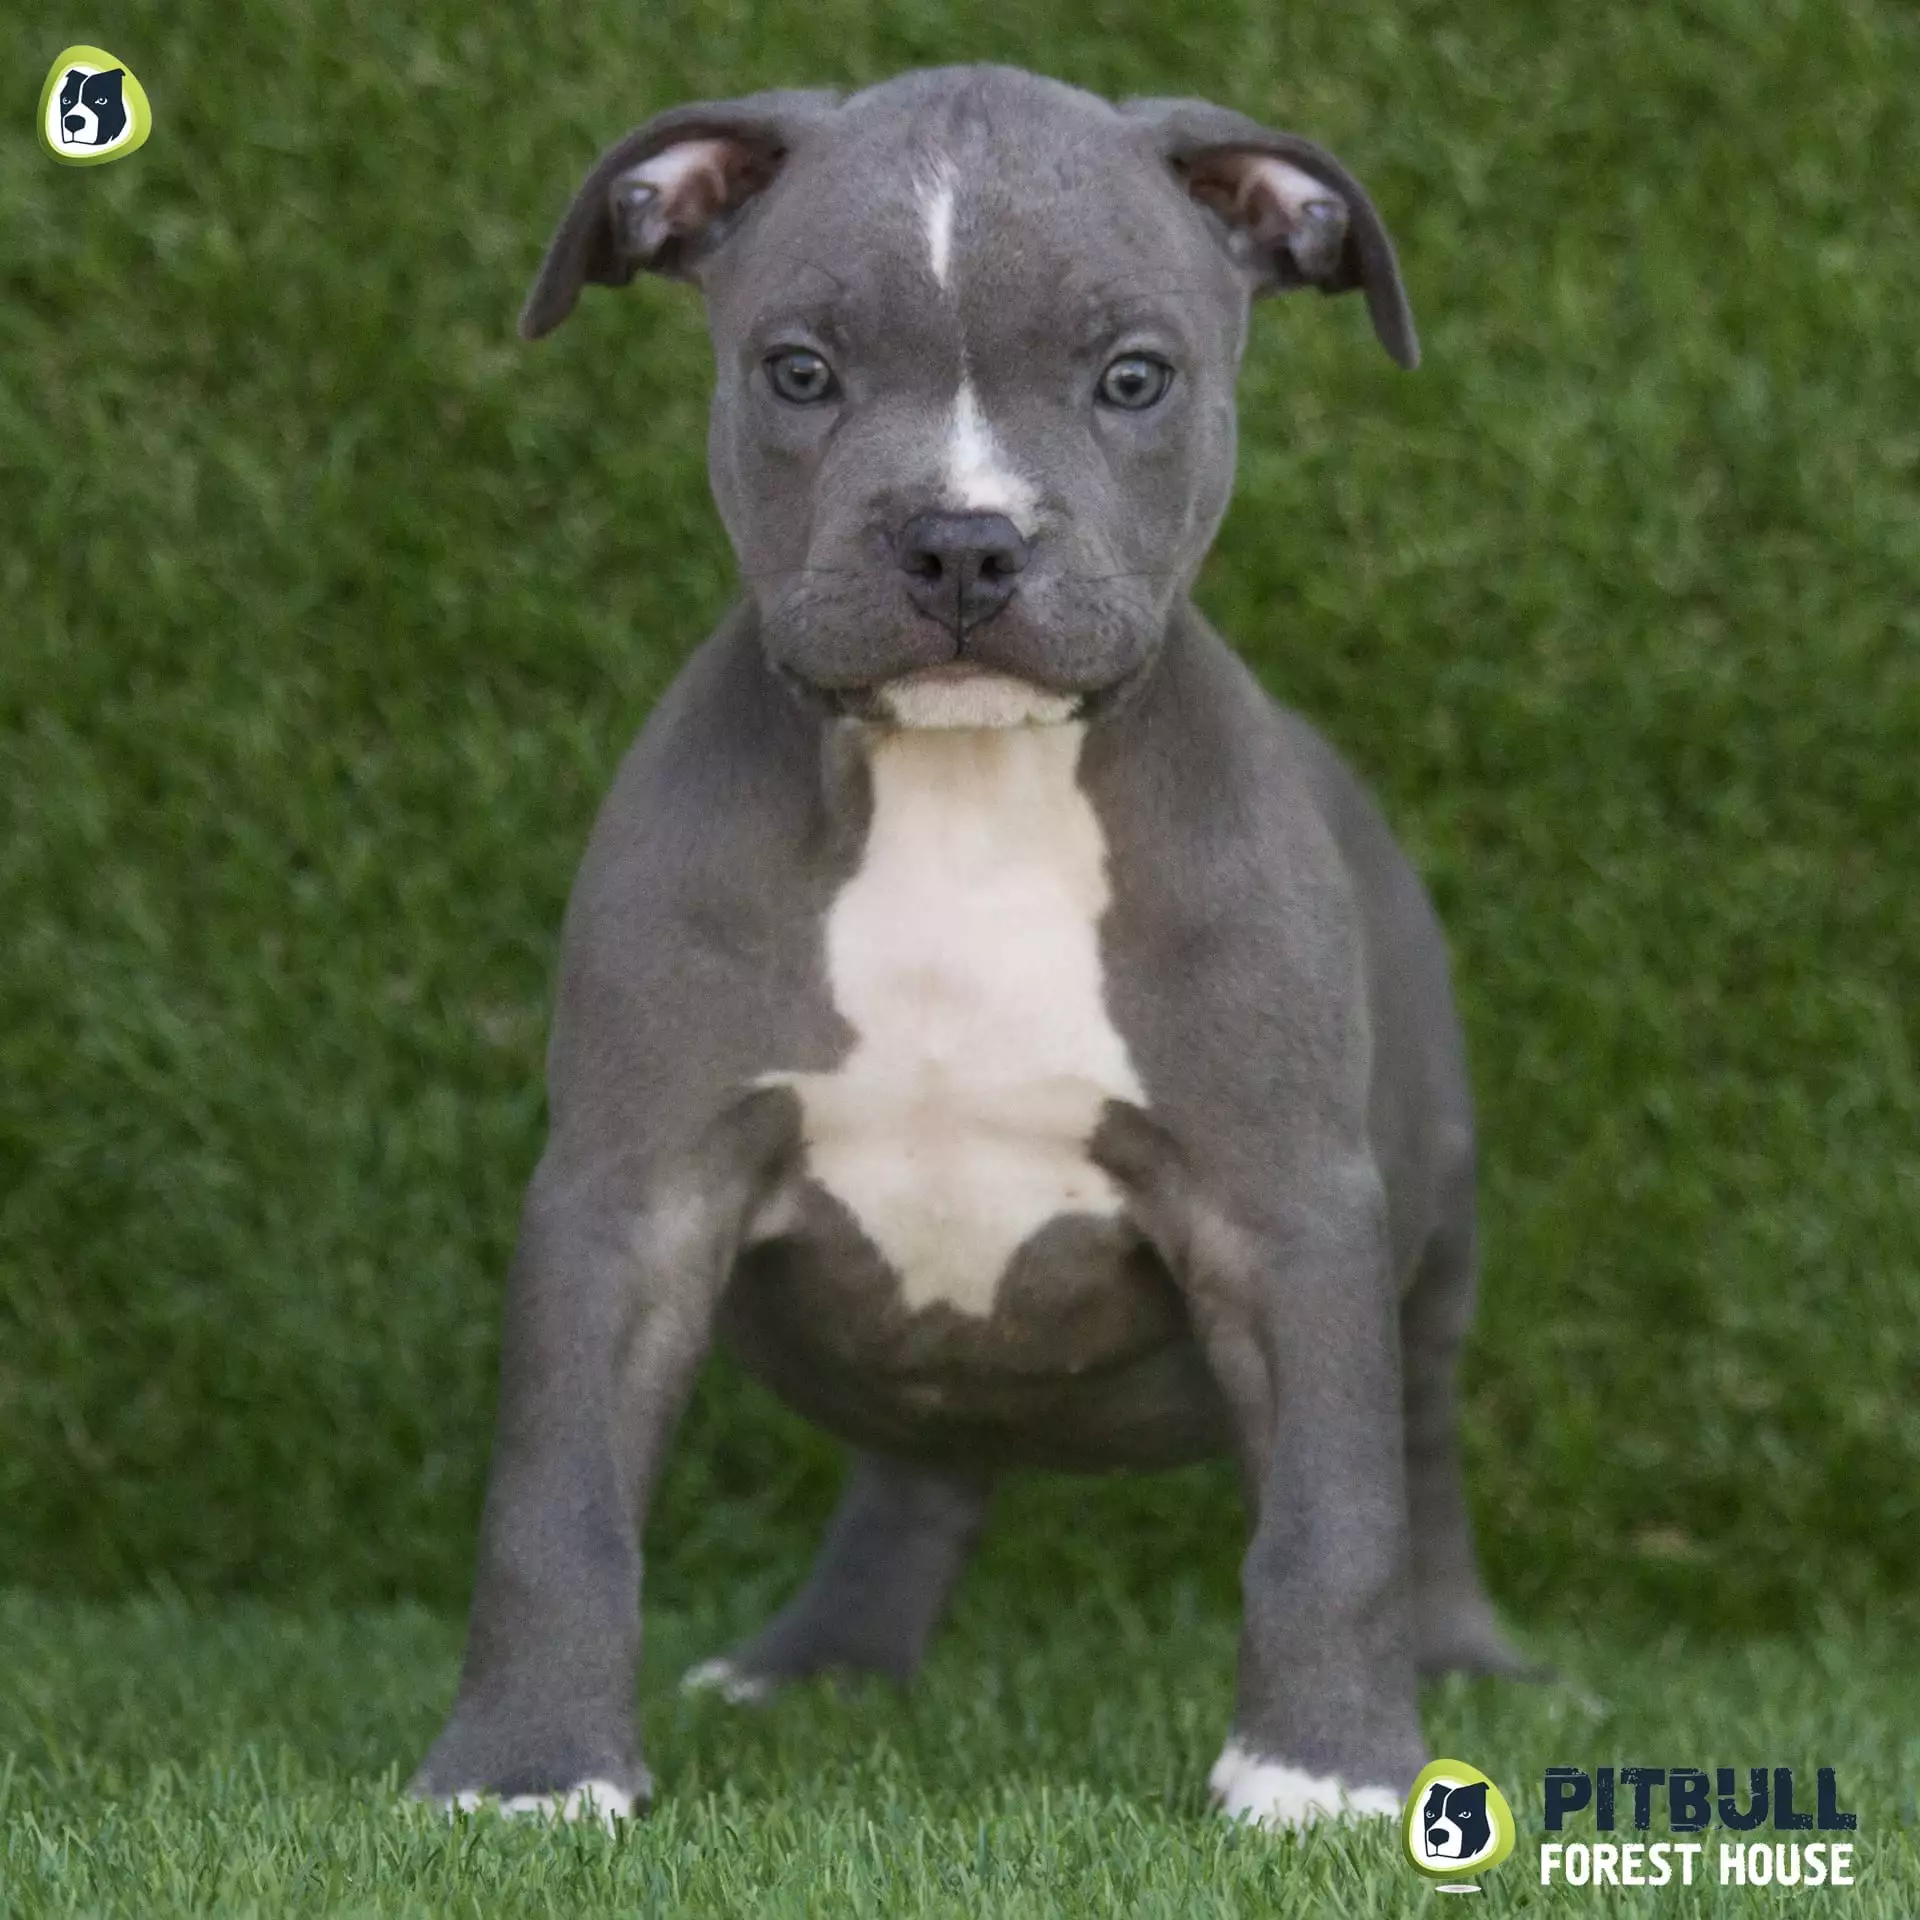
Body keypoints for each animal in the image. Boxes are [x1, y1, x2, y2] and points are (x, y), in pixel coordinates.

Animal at [412, 56, 1520, 1827]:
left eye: (1134, 377)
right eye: (799, 370)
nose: (961, 540)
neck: (966, 786)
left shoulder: (1284, 1205)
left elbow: (1334, 1513)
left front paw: (1323, 1770)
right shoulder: (626, 1198)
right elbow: (554, 1505)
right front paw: (526, 1770)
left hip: (1444, 1233)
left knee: (1418, 1453)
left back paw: (1467, 1658)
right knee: (921, 1456)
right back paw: (827, 1656)